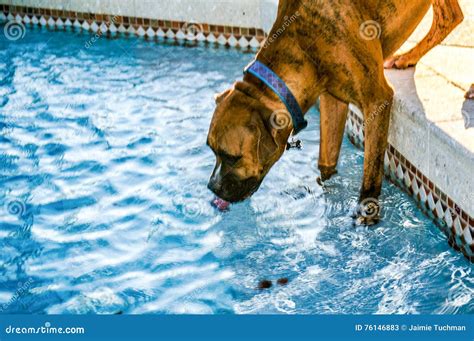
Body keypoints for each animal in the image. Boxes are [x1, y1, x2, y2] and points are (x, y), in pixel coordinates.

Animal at [206, 0, 466, 223]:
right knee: (451, 17)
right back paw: (409, 56)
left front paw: (366, 216)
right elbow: (326, 160)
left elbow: (371, 172)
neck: (301, 43)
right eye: (211, 150)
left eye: (231, 156)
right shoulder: (333, 101)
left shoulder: (376, 100)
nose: (211, 187)